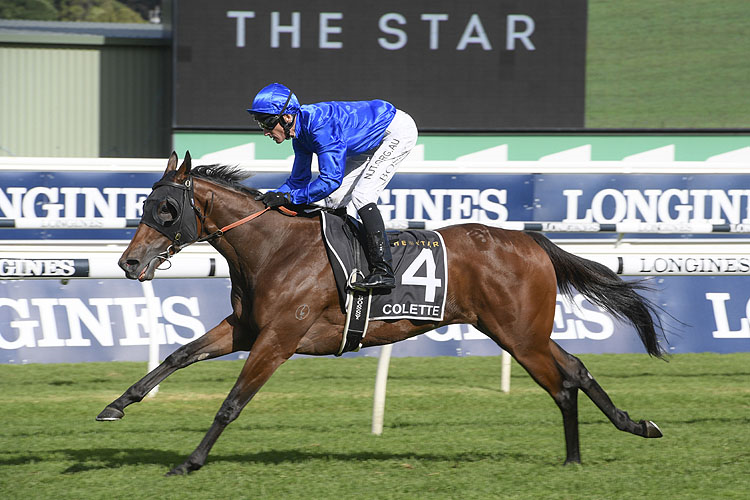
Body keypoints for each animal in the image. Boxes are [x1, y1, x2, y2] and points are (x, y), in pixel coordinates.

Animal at [97, 152, 668, 476]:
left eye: (166, 210)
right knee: (575, 371)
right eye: (145, 206)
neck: (275, 247)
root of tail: (531, 242)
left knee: (562, 382)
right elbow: (178, 355)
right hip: (521, 330)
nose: (129, 262)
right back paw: (621, 433)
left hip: (519, 335)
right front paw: (116, 405)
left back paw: (585, 450)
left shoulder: (279, 338)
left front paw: (190, 462)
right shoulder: (245, 328)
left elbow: (231, 403)